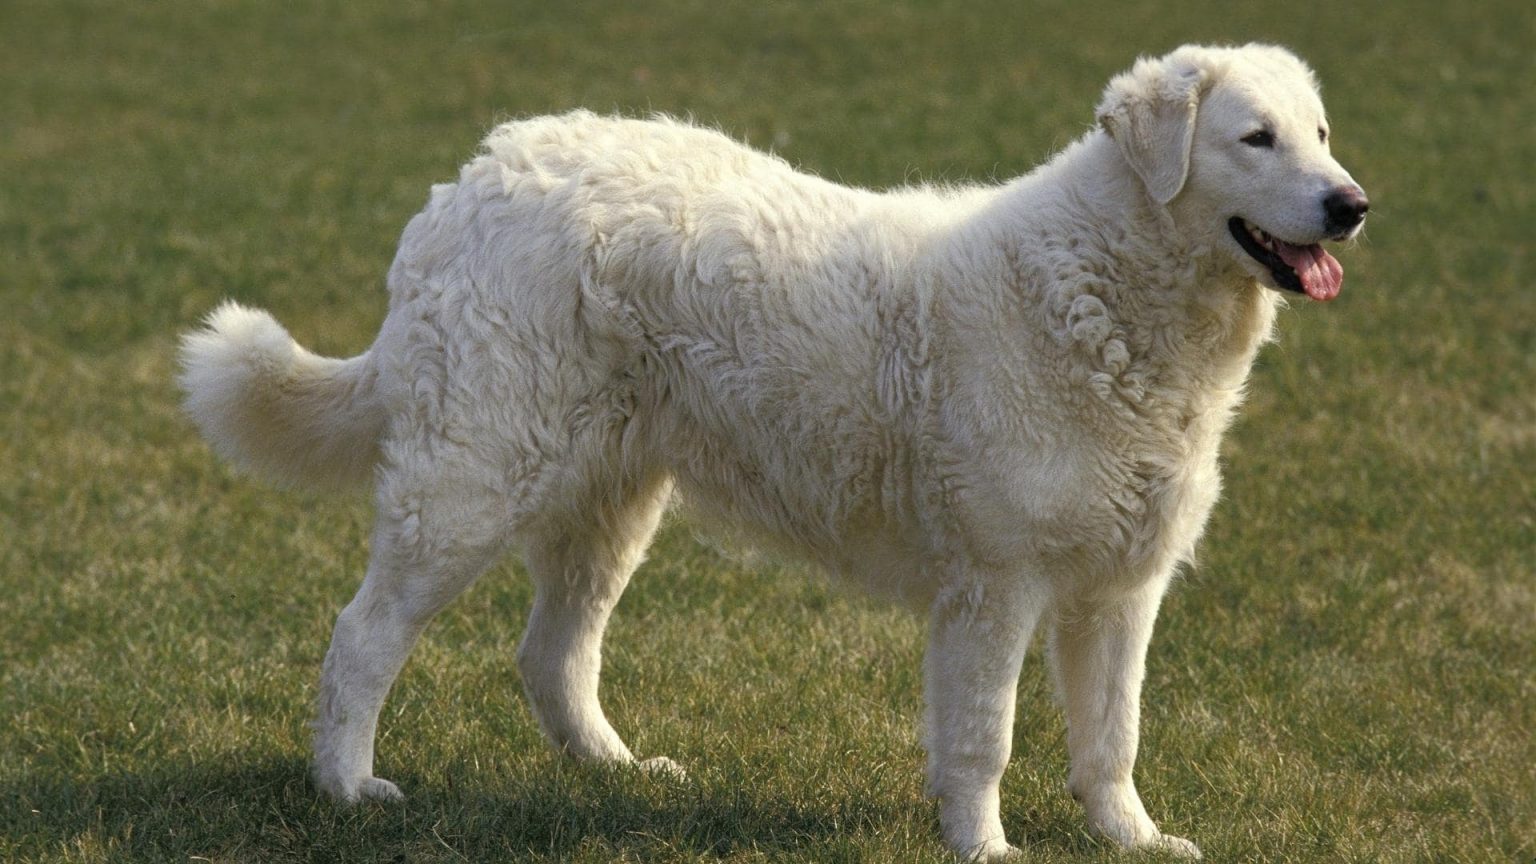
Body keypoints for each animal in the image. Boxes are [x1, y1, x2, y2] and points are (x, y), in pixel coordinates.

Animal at [179, 45, 1370, 854]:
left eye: (1320, 133)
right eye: (1255, 138)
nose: (1352, 204)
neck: (1110, 291)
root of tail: (470, 181)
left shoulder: (1121, 587)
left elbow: (1112, 739)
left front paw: (1134, 841)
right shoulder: (997, 585)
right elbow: (981, 740)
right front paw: (986, 849)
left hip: (611, 501)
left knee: (552, 653)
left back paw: (620, 774)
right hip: (471, 483)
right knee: (364, 636)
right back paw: (347, 788)